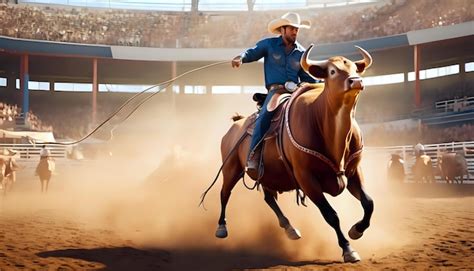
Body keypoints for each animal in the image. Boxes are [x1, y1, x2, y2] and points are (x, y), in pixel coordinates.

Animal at [211, 44, 374, 264]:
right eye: (332, 71)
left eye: (356, 69)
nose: (356, 81)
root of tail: (236, 124)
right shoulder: (306, 178)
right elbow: (331, 214)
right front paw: (348, 249)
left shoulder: (354, 171)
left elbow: (368, 202)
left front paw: (357, 230)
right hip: (231, 168)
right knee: (224, 193)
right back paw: (222, 227)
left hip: (267, 175)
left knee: (269, 199)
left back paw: (290, 228)